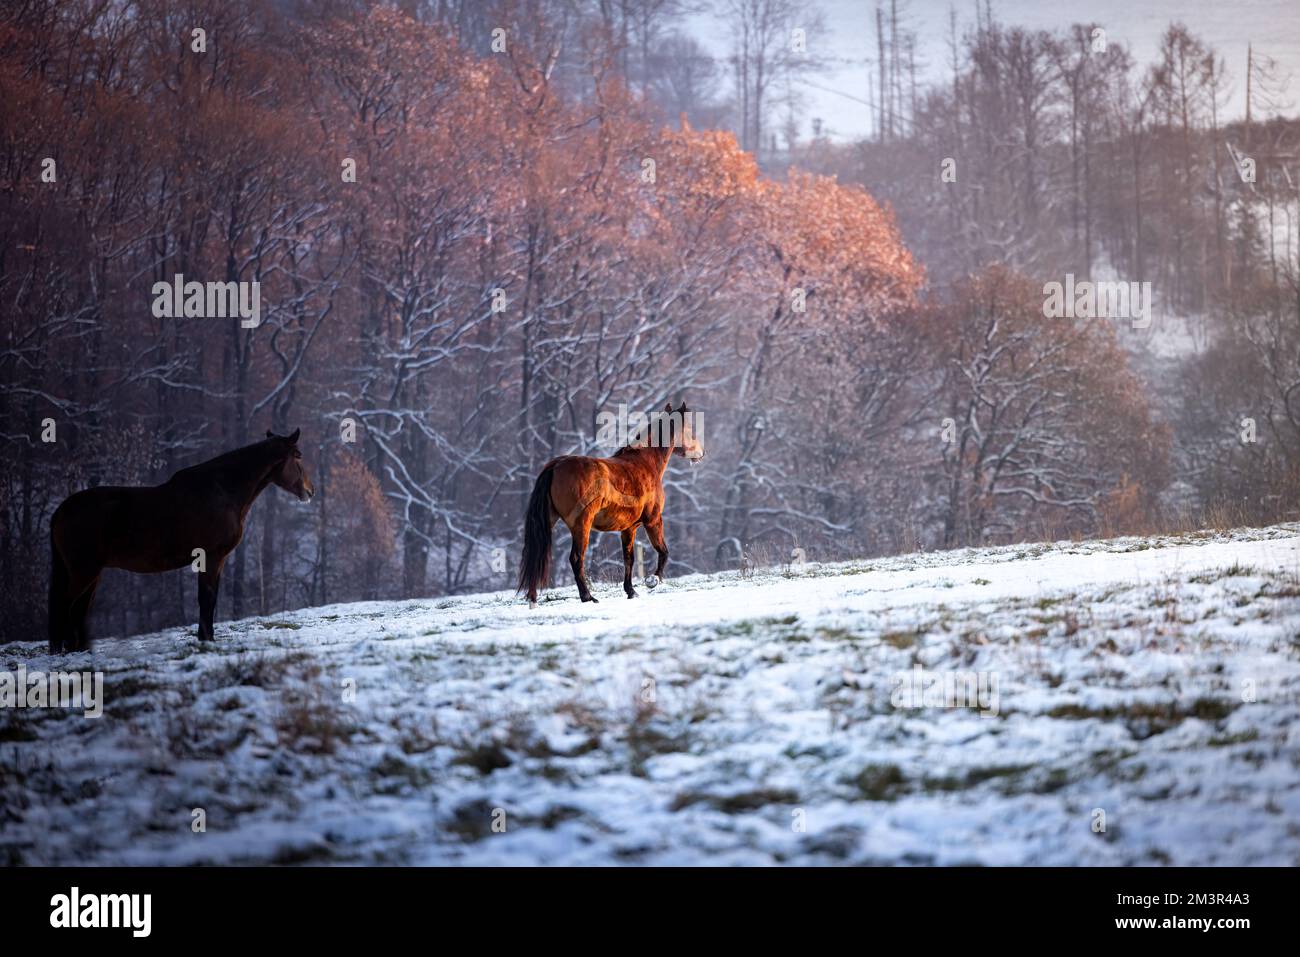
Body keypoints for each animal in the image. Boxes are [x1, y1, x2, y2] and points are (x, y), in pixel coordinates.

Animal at [48, 429, 314, 653]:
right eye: (298, 456)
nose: (310, 491)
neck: (222, 491)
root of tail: (62, 510)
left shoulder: (217, 561)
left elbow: (209, 599)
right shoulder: (211, 557)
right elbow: (207, 599)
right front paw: (207, 640)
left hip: (92, 573)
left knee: (78, 609)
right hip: (84, 571)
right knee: (65, 607)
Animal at [517, 401, 704, 605]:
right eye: (689, 428)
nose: (701, 453)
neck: (645, 463)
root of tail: (557, 465)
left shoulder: (629, 528)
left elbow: (629, 559)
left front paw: (631, 591)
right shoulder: (653, 520)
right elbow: (663, 551)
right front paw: (652, 580)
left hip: (549, 521)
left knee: (536, 554)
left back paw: (533, 599)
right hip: (581, 525)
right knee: (576, 558)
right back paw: (588, 597)